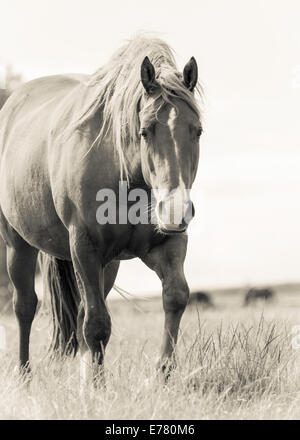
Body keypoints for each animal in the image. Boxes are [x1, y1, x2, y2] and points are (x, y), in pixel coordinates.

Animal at [0, 36, 204, 384]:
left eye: (198, 130)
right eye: (145, 131)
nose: (175, 210)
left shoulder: (166, 244)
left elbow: (175, 297)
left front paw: (163, 373)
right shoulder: (85, 249)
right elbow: (96, 324)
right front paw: (97, 386)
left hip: (108, 265)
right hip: (19, 245)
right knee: (25, 307)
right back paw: (25, 375)